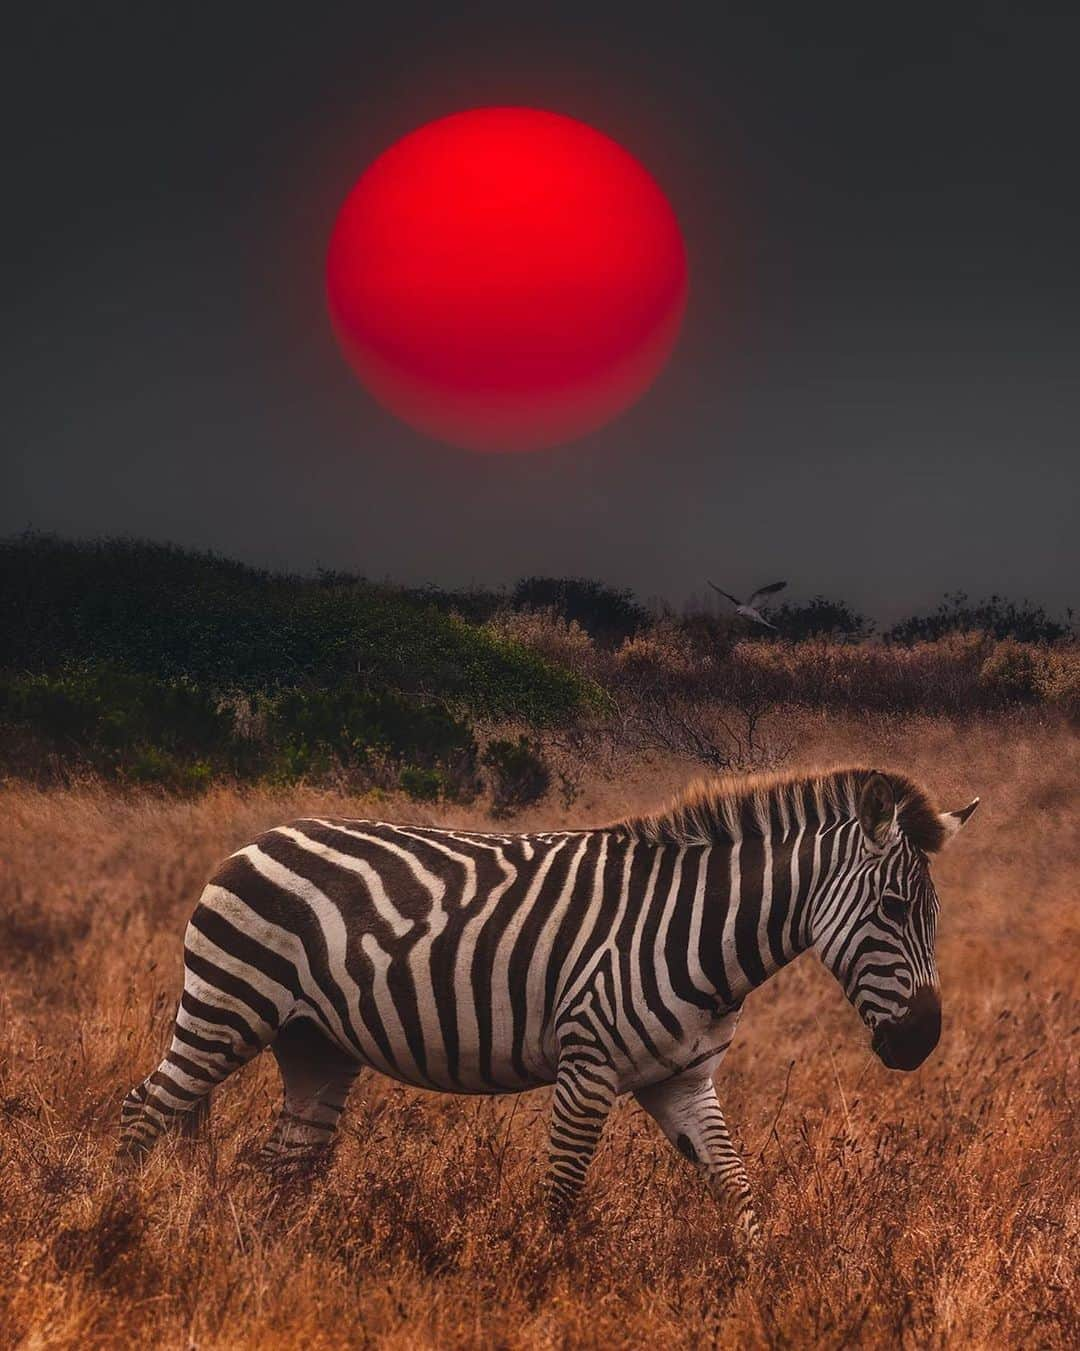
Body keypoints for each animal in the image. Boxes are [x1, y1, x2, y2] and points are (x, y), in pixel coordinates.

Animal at [120, 767, 978, 1237]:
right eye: (895, 909)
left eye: (936, 915)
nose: (922, 1042)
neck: (701, 934)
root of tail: (256, 838)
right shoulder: (587, 1063)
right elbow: (562, 1194)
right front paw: (543, 1286)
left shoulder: (684, 1079)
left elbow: (736, 1189)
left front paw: (765, 1293)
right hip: (229, 1005)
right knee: (146, 1106)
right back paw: (119, 1223)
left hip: (315, 1043)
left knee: (287, 1159)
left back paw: (274, 1254)